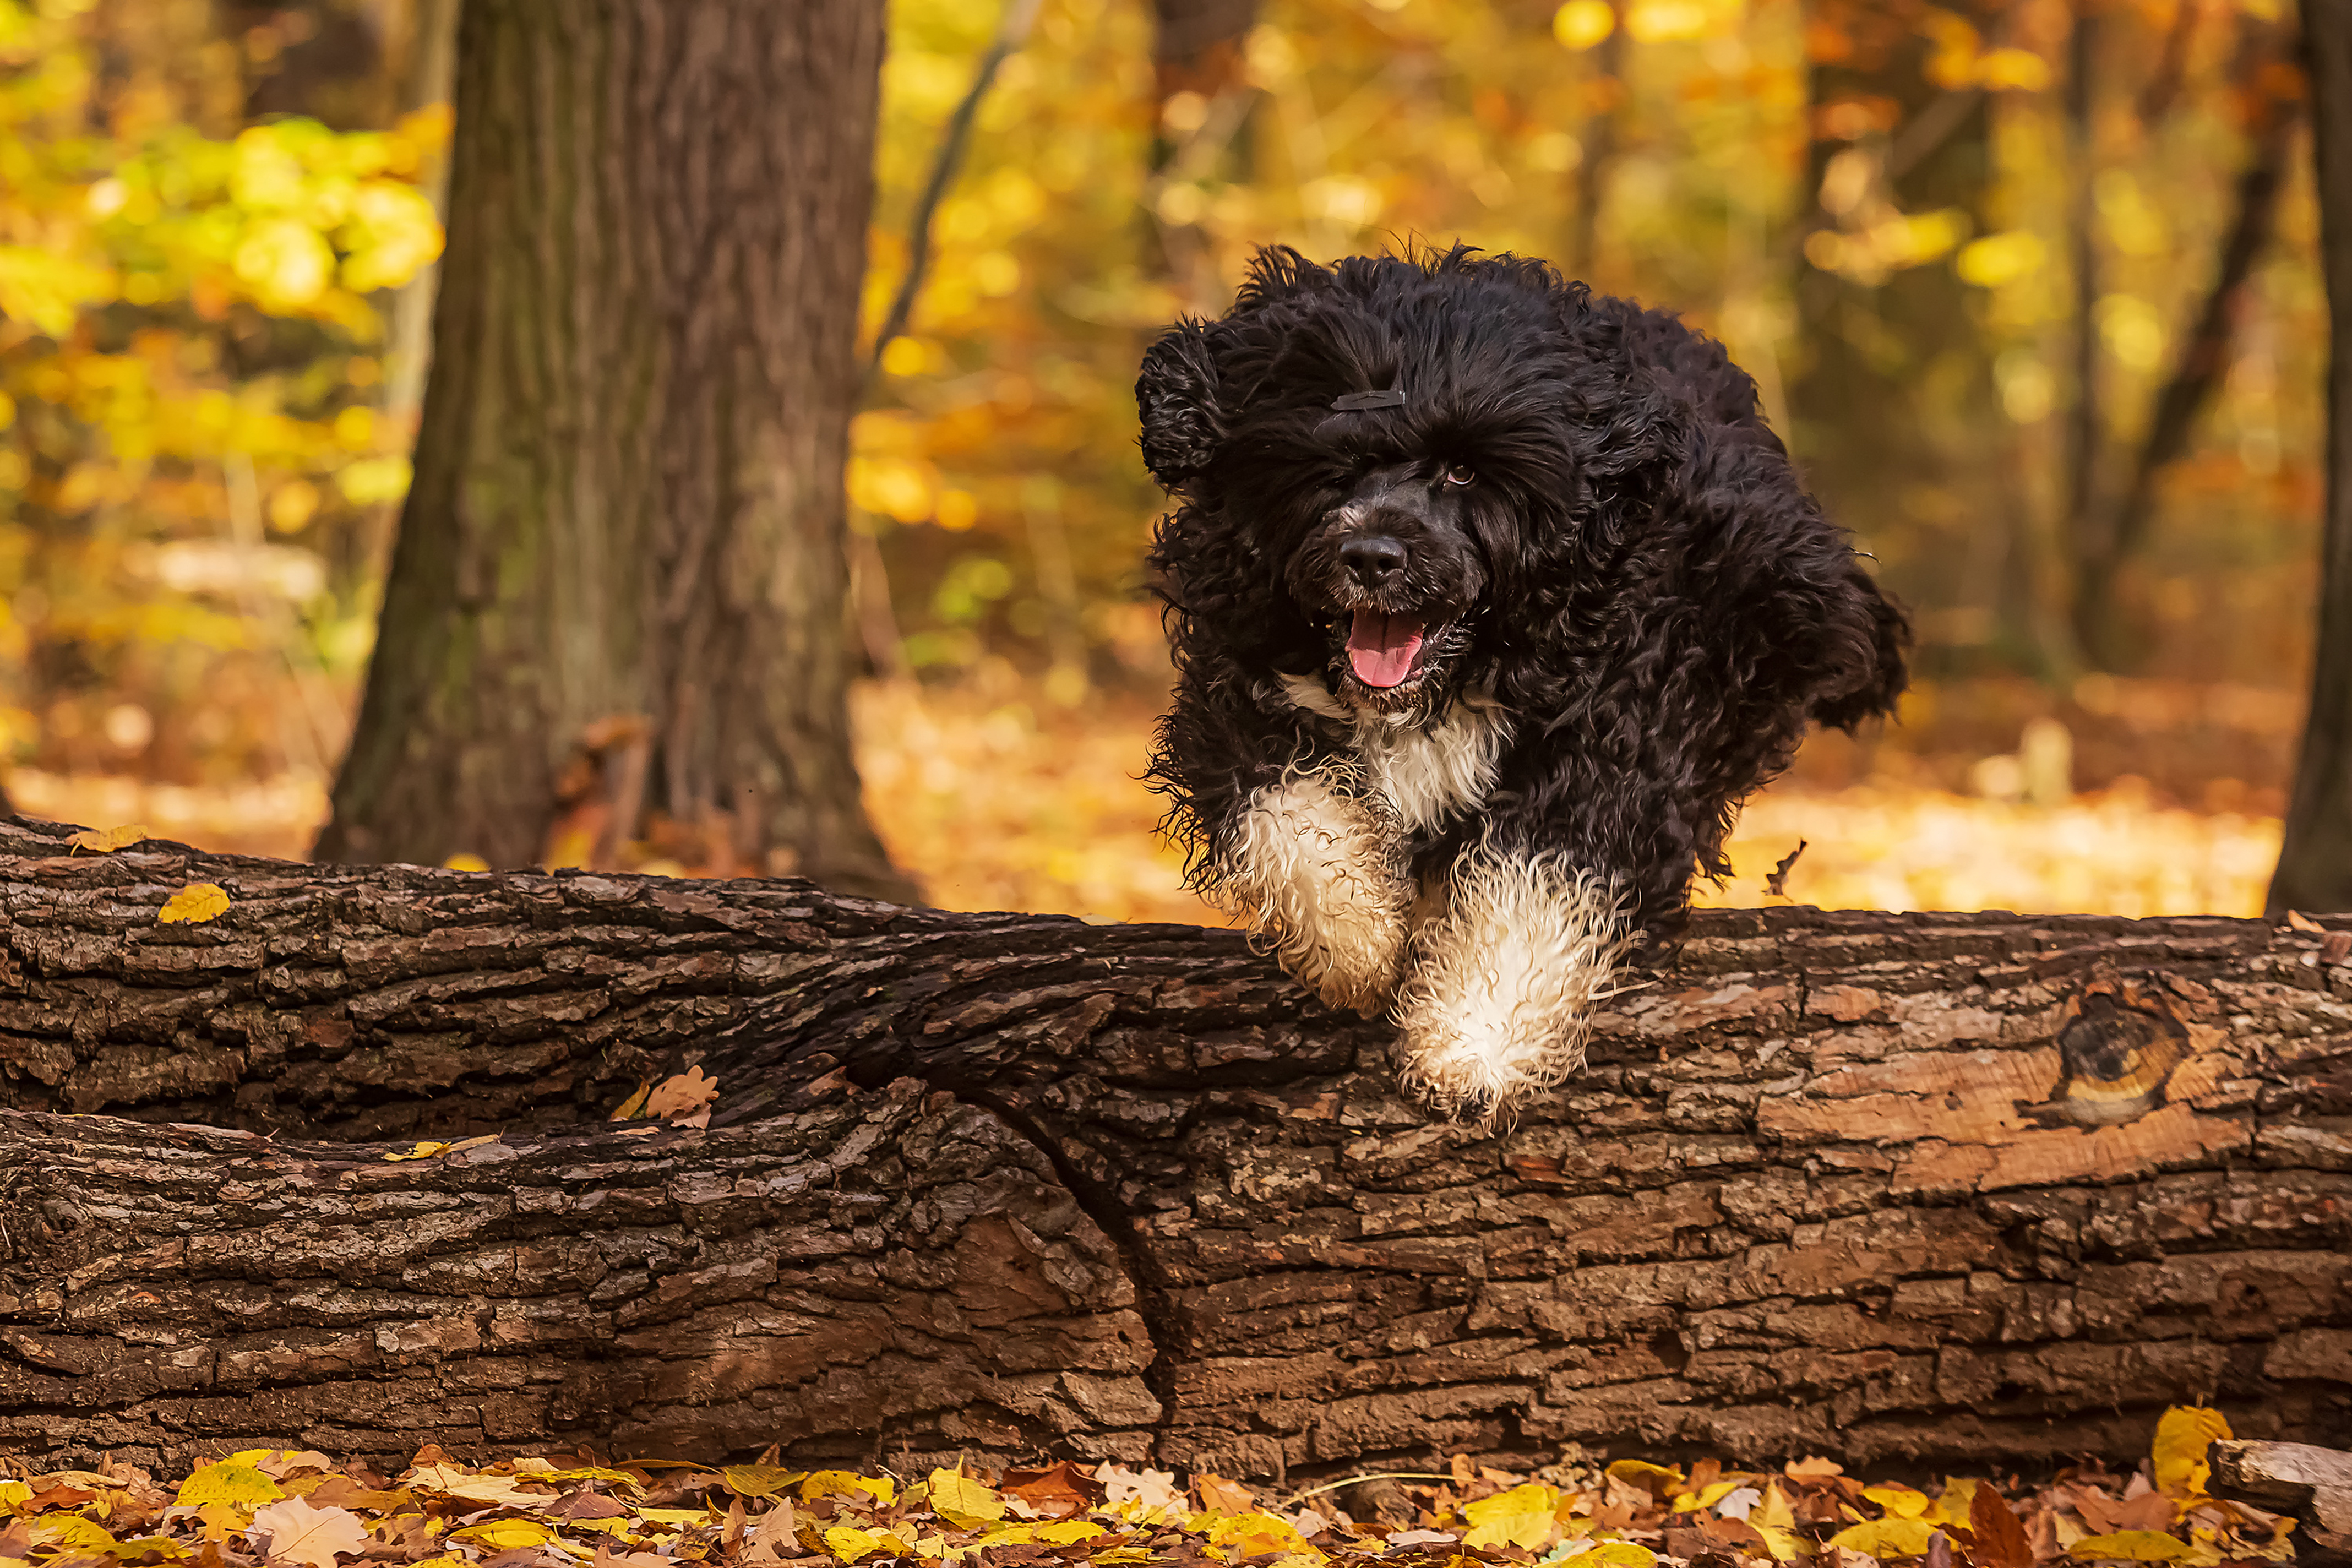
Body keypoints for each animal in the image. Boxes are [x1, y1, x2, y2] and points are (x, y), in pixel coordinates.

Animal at [1138, 246, 1909, 1123]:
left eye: (1464, 470)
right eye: (1332, 465)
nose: (1370, 555)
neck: (1461, 670)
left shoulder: (1619, 738)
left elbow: (1536, 881)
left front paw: (1471, 1035)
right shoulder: (1241, 691)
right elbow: (1286, 811)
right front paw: (1356, 939)